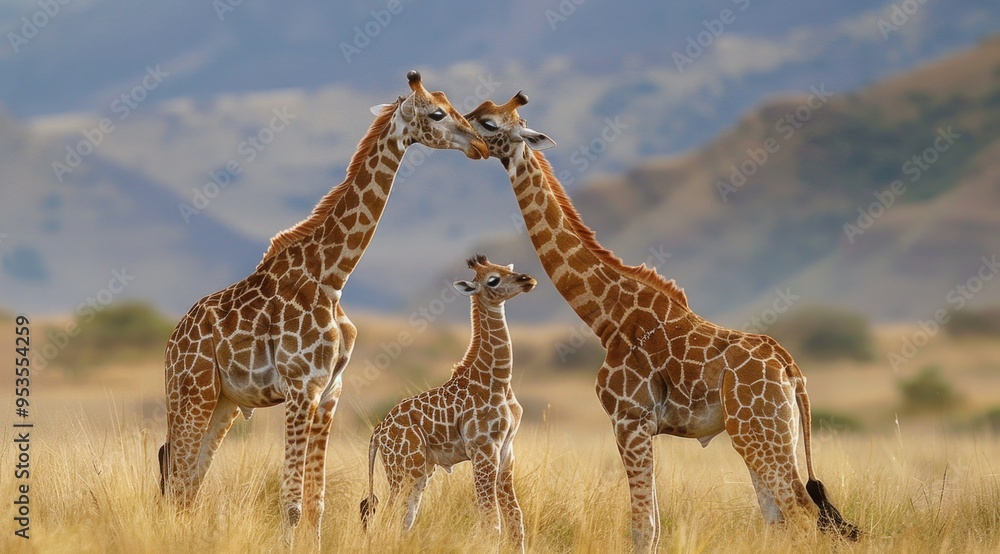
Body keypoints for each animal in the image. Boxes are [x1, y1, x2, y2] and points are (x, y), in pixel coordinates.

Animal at [158, 71, 489, 549]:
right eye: (436, 113)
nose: (480, 144)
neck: (331, 277)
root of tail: (171, 343)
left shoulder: (330, 391)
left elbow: (316, 504)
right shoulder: (301, 389)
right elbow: (293, 504)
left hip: (223, 404)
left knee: (188, 485)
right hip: (192, 394)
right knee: (178, 480)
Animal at [359, 254, 535, 552]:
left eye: (505, 268)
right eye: (493, 280)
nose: (528, 279)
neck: (499, 380)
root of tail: (378, 433)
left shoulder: (506, 450)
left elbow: (515, 520)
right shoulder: (483, 449)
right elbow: (492, 521)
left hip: (420, 470)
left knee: (404, 518)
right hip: (404, 468)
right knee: (388, 517)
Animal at [463, 93, 861, 551]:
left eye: (489, 124)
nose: (464, 135)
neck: (607, 315)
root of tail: (790, 370)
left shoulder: (629, 419)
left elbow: (643, 526)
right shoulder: (644, 427)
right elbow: (652, 523)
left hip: (759, 432)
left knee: (801, 510)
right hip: (769, 433)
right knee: (778, 517)